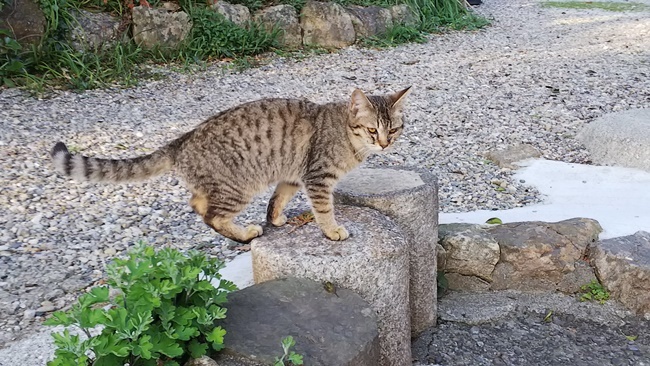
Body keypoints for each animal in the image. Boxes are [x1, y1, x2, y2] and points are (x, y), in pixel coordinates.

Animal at [53, 87, 412, 243]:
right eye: (372, 130)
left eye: (393, 129)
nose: (384, 143)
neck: (345, 134)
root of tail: (182, 139)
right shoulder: (318, 178)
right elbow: (324, 209)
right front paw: (332, 230)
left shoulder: (294, 175)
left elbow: (278, 198)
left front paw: (276, 218)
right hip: (237, 187)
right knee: (211, 214)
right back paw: (244, 234)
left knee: (198, 203)